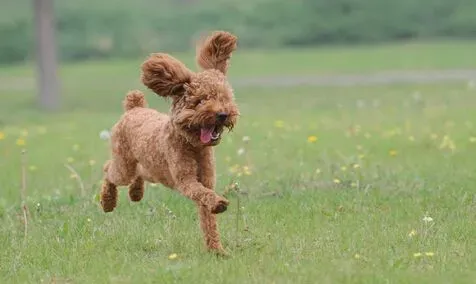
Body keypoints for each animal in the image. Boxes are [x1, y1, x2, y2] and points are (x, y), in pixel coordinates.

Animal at [101, 31, 240, 255]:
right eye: (200, 100)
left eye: (225, 98)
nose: (222, 114)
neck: (193, 146)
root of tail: (134, 108)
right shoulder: (185, 180)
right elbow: (203, 195)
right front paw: (219, 203)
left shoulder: (206, 180)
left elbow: (208, 218)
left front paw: (217, 250)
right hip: (124, 164)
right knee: (109, 171)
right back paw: (107, 202)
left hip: (152, 168)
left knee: (139, 173)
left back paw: (136, 193)